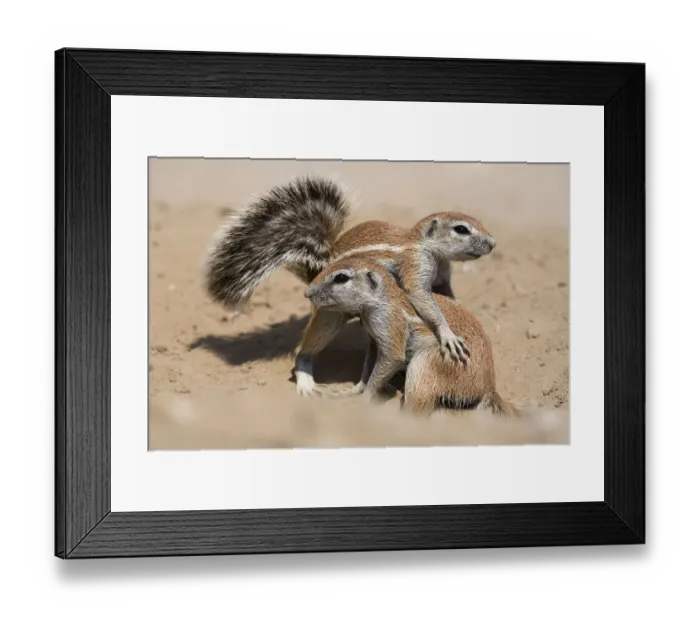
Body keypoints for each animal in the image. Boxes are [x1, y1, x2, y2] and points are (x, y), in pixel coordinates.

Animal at [203, 175, 496, 396]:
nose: (493, 243)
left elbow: (445, 295)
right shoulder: (414, 266)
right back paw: (307, 381)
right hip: (329, 315)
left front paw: (462, 314)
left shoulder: (442, 275)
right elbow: (421, 298)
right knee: (305, 348)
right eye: (461, 229)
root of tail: (316, 271)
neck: (422, 245)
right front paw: (447, 334)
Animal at [304, 257, 516, 415]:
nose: (307, 293)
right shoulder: (374, 339)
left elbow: (390, 359)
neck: (382, 298)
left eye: (341, 277)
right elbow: (368, 367)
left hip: (425, 365)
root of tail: (488, 387)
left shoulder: (389, 324)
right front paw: (352, 390)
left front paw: (363, 400)